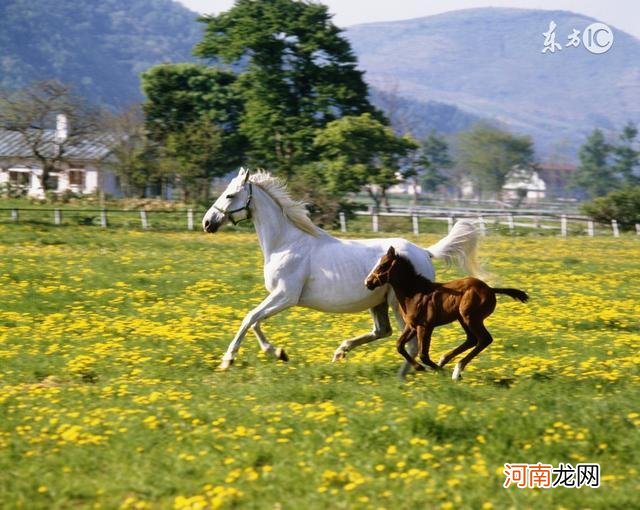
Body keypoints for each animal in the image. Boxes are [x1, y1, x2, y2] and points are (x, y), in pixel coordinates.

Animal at [202, 169, 478, 376]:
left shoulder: (285, 296)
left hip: (399, 304)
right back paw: (341, 352)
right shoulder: (279, 297)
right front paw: (279, 353)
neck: (286, 243)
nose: (207, 223)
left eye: (230, 195)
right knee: (383, 331)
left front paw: (228, 360)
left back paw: (406, 375)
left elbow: (249, 318)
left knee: (408, 341)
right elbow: (256, 321)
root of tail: (424, 252)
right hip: (378, 303)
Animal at [368, 245, 528, 380]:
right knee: (472, 339)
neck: (414, 293)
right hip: (463, 318)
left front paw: (436, 370)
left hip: (471, 317)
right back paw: (445, 360)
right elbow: (399, 345)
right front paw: (420, 368)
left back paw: (456, 371)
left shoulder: (425, 326)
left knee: (484, 339)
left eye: (383, 265)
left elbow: (423, 354)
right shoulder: (412, 326)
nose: (368, 282)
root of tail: (490, 289)